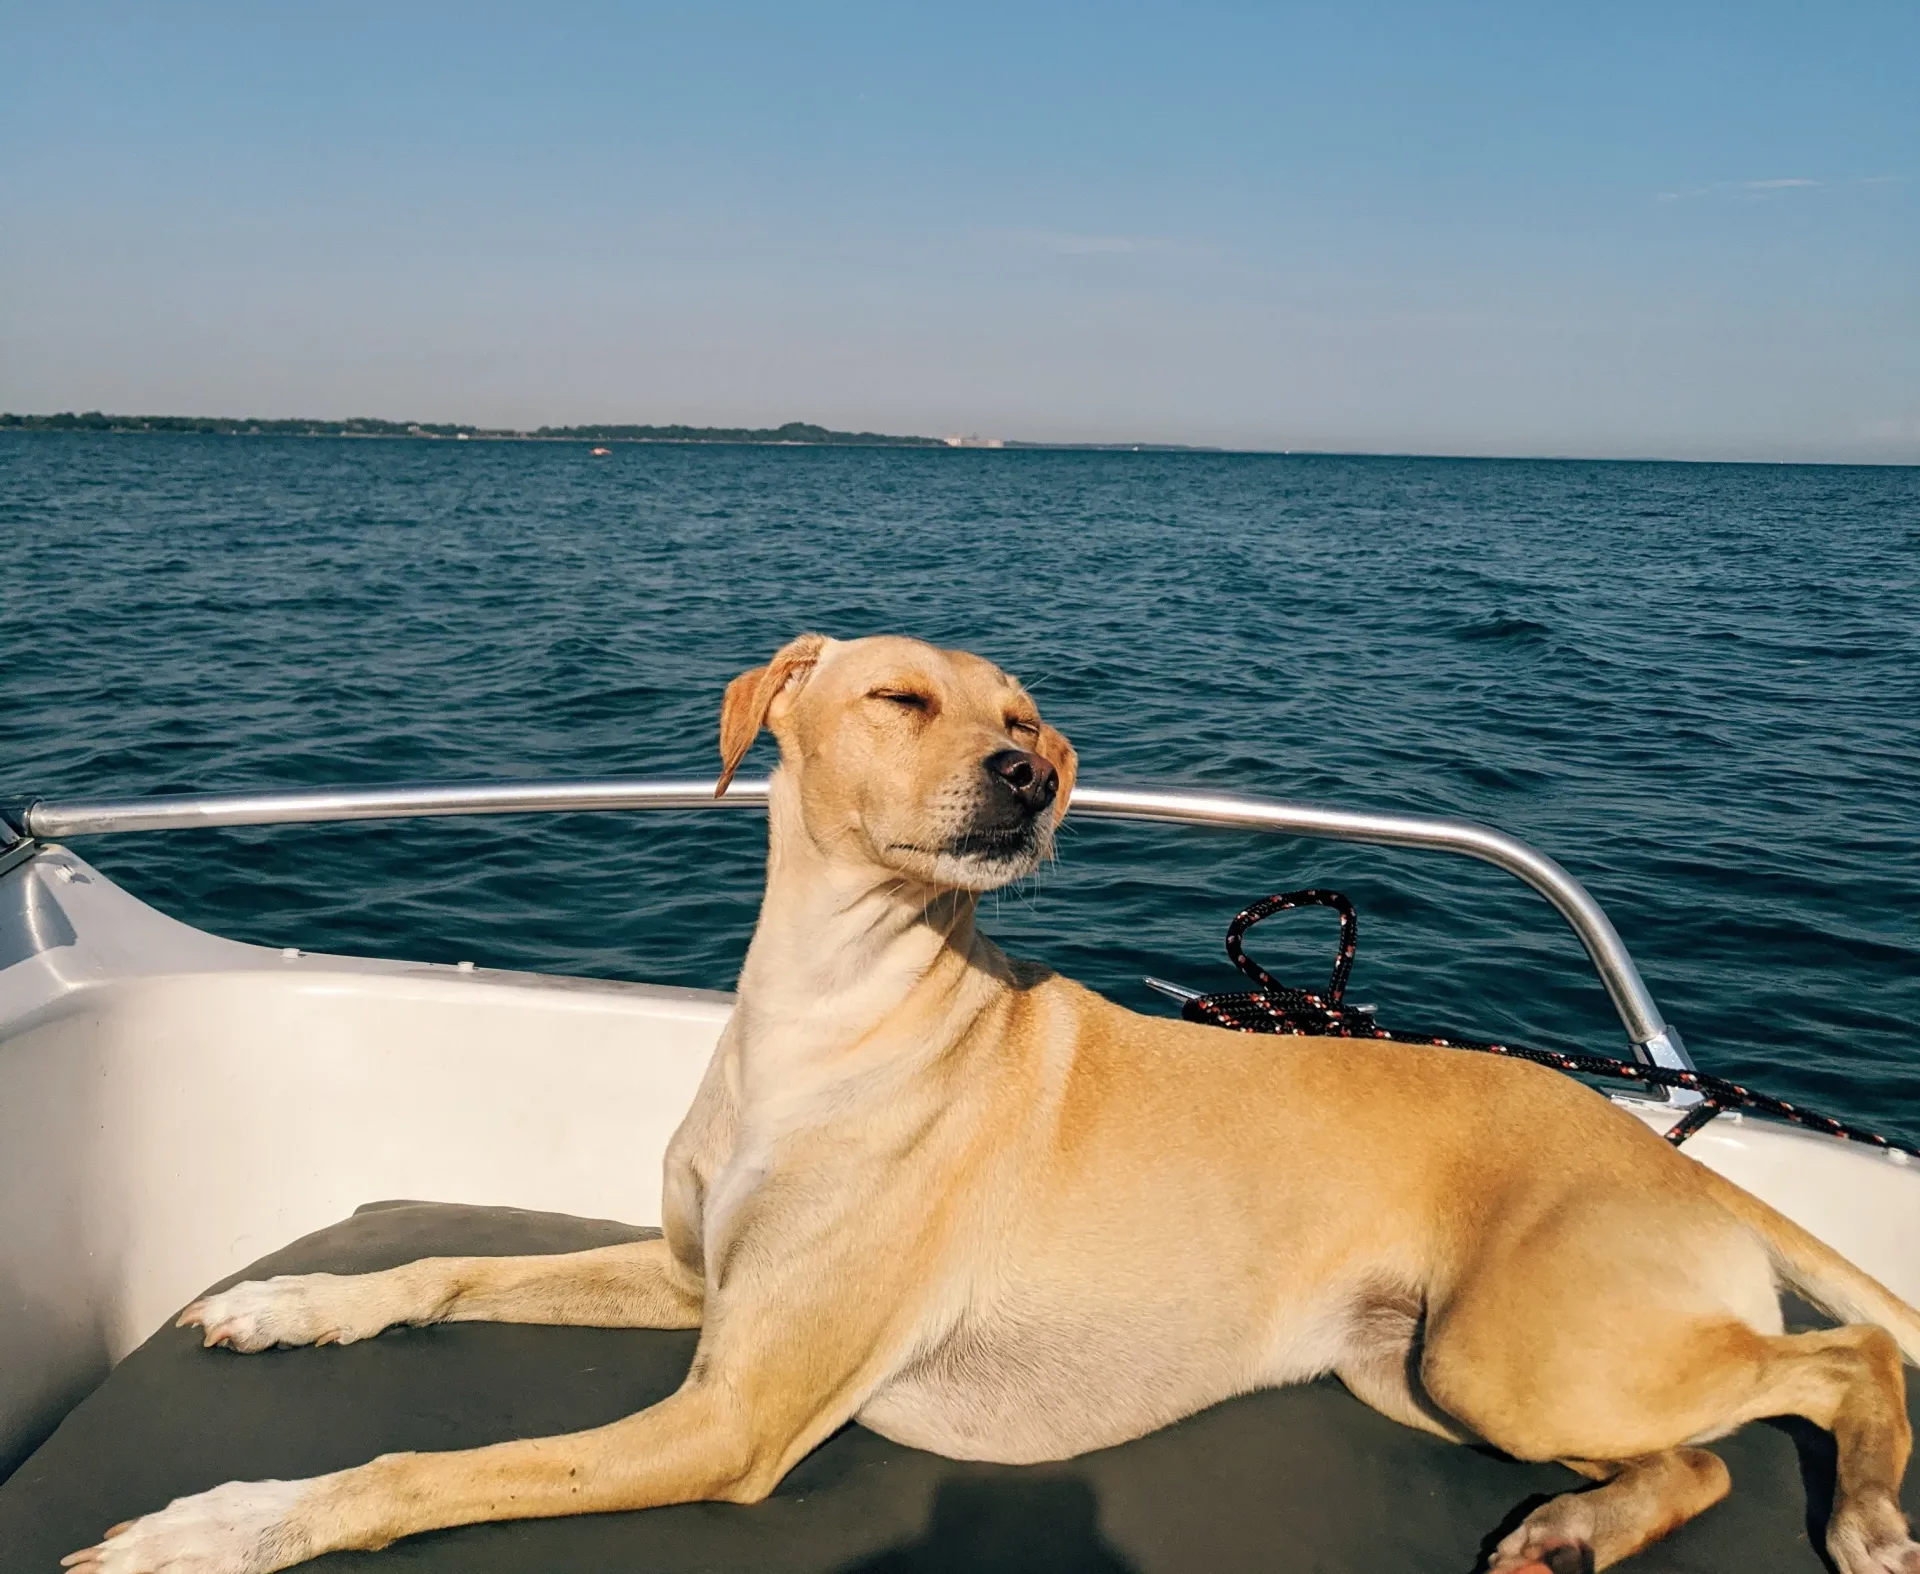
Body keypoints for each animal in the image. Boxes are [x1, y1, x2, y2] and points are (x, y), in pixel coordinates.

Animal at [67, 633, 1920, 1566]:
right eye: (903, 695)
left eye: (1029, 715)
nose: (1028, 774)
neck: (835, 1015)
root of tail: (1659, 1143)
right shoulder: (692, 1280)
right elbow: (439, 1267)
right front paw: (295, 1300)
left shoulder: (731, 1416)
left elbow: (415, 1467)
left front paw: (218, 1523)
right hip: (1420, 1372)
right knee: (1698, 1462)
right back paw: (1580, 1531)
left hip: (1519, 1352)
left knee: (1841, 1360)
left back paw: (1869, 1509)